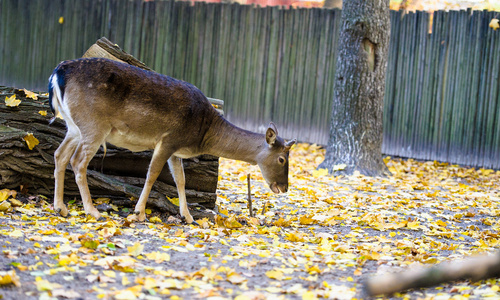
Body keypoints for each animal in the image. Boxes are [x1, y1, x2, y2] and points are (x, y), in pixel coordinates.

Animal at [48, 57, 294, 224]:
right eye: (282, 159)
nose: (284, 187)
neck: (203, 132)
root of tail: (58, 73)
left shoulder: (176, 151)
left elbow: (181, 180)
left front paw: (188, 217)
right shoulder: (169, 139)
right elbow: (152, 174)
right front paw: (139, 213)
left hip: (73, 126)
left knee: (59, 155)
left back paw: (60, 208)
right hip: (94, 124)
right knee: (78, 161)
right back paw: (92, 211)